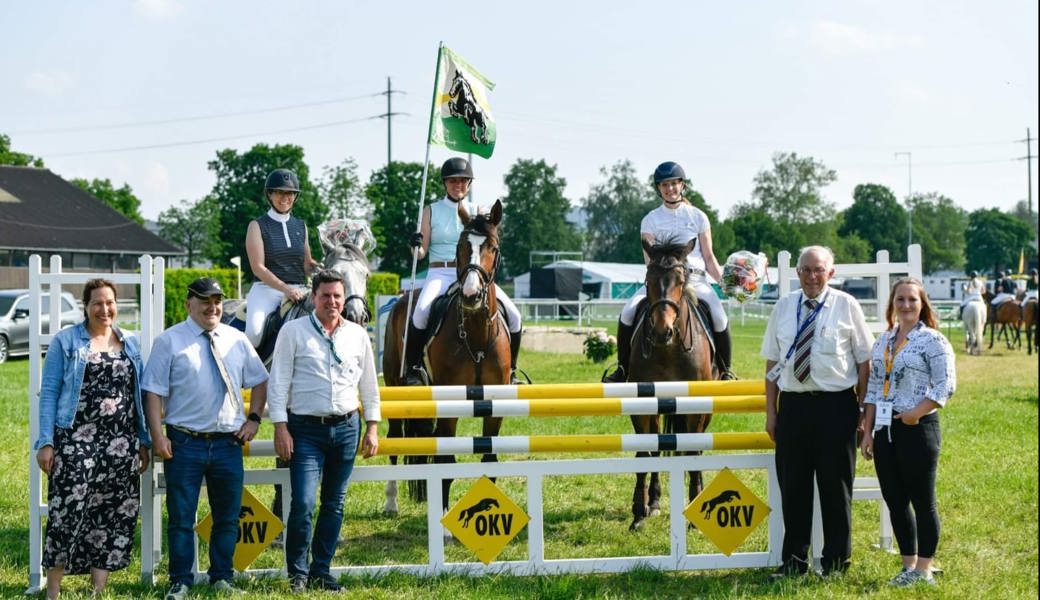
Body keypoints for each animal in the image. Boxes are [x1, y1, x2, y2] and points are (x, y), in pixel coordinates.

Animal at [382, 199, 511, 515]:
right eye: (461, 247)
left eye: (493, 247)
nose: (471, 295)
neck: (476, 336)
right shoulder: (449, 403)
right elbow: (445, 461)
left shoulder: (495, 403)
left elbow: (489, 459)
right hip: (395, 386)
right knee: (395, 439)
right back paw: (391, 502)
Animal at [619, 237, 711, 528]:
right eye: (648, 280)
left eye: (681, 280)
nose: (662, 332)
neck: (668, 350)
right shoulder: (643, 404)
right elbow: (645, 453)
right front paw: (639, 512)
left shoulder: (697, 406)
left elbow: (692, 453)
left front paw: (695, 510)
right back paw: (655, 503)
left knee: (699, 447)